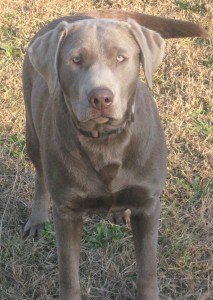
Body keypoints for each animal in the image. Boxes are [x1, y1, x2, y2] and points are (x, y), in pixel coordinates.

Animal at [22, 9, 206, 300]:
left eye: (121, 57)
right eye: (75, 60)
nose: (100, 97)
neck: (105, 142)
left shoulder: (148, 205)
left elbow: (147, 270)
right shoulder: (67, 212)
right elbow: (69, 275)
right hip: (32, 133)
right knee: (41, 176)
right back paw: (37, 219)